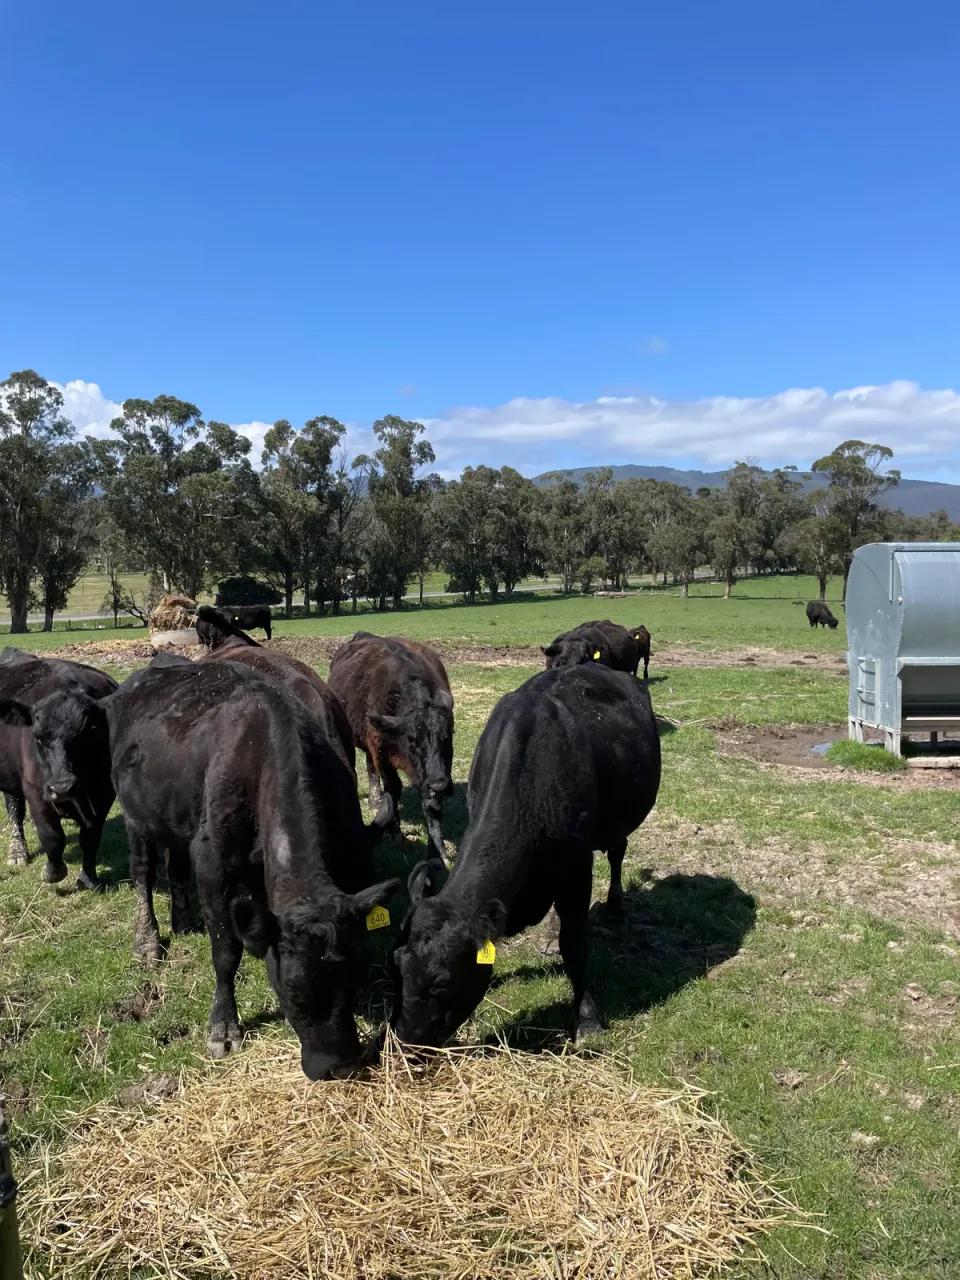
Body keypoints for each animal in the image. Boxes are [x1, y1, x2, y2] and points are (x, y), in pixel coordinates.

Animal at [0, 649, 116, 888]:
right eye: (37, 736)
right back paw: (17, 852)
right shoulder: (36, 791)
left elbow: (90, 836)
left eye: (89, 732)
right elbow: (52, 836)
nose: (63, 787)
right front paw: (53, 872)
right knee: (15, 809)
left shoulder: (104, 792)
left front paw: (88, 877)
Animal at [328, 633, 454, 863]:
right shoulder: (382, 755)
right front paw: (396, 833)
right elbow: (393, 792)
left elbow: (431, 805)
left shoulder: (439, 770)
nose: (439, 785)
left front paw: (439, 849)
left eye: (447, 736)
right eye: (412, 739)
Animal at [391, 663, 661, 1048]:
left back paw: (615, 907)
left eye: (443, 981)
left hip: (618, 824)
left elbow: (574, 945)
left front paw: (587, 1019)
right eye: (398, 964)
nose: (406, 1039)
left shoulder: (576, 867)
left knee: (617, 854)